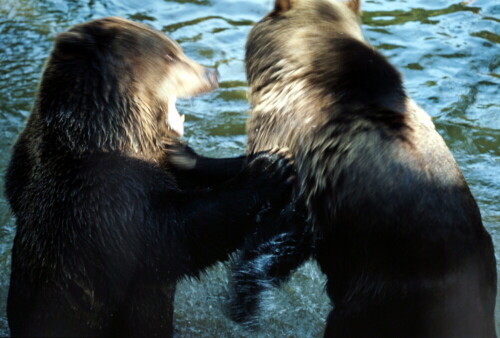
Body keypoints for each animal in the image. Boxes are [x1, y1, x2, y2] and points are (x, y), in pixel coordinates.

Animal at [3, 17, 294, 336]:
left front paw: (272, 154)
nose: (212, 73)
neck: (111, 133)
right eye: (170, 55)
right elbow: (173, 238)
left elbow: (191, 175)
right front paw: (269, 168)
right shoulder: (103, 199)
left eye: (177, 49)